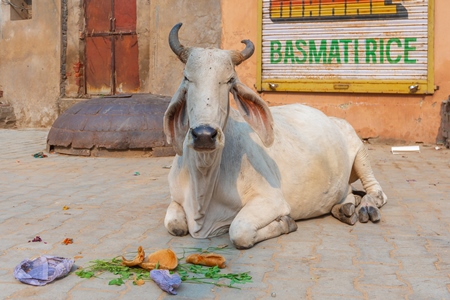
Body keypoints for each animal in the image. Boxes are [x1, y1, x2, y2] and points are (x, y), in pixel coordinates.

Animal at [162, 22, 386, 248]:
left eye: (230, 80)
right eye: (187, 77)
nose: (204, 135)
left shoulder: (272, 201)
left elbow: (239, 231)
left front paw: (286, 222)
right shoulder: (175, 199)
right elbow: (174, 225)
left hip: (360, 151)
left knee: (377, 193)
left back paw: (366, 207)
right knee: (347, 192)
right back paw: (345, 209)